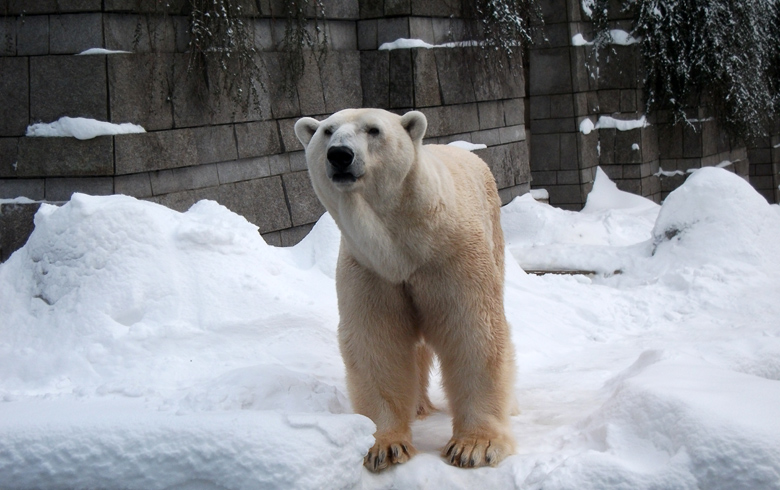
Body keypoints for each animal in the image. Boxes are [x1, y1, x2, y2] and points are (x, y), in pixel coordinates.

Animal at [296, 108, 516, 470]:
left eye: (373, 130)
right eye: (327, 131)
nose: (340, 155)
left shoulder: (452, 257)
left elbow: (473, 330)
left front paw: (473, 446)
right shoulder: (370, 270)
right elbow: (378, 342)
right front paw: (384, 447)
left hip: (493, 229)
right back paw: (418, 406)